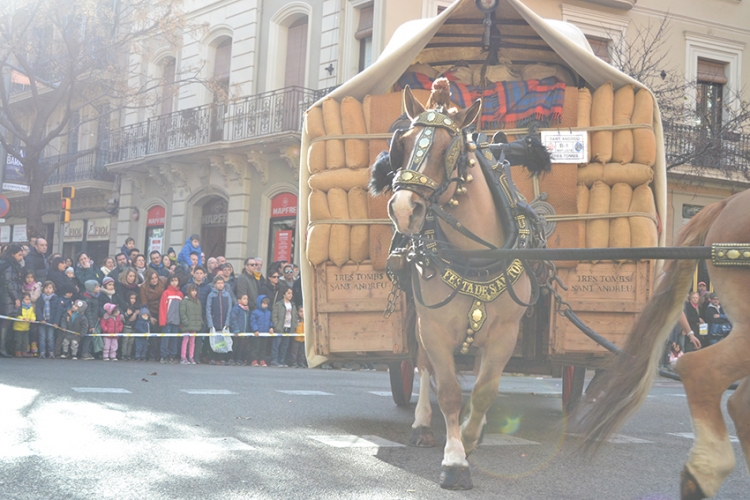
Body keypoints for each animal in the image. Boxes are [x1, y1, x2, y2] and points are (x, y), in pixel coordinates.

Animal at [374, 82, 544, 488]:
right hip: (419, 321)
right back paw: (422, 425)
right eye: (403, 143)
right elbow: (449, 391)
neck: (476, 258)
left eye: (446, 148)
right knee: (422, 366)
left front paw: (469, 436)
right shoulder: (433, 327)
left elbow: (484, 391)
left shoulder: (505, 333)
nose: (403, 209)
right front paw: (454, 460)